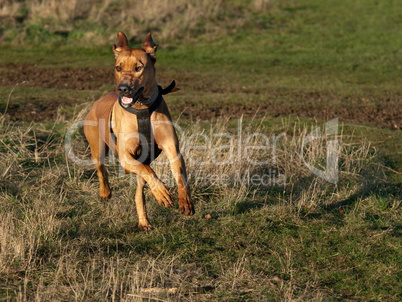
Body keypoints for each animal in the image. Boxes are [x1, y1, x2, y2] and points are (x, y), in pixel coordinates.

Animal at [84, 31, 194, 229]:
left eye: (138, 68)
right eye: (118, 68)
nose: (123, 89)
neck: (142, 108)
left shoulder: (172, 149)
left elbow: (180, 176)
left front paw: (185, 201)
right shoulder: (126, 157)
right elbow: (149, 172)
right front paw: (162, 193)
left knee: (139, 189)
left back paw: (143, 220)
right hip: (97, 147)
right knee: (102, 169)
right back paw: (105, 192)